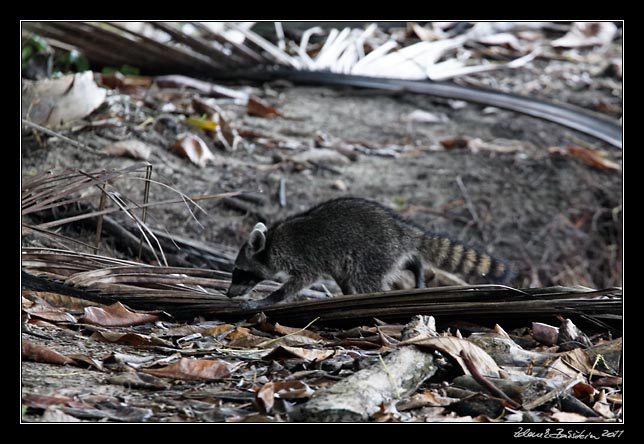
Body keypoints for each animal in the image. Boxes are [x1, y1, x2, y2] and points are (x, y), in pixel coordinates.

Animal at [228, 199, 512, 306]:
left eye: (239, 271)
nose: (229, 294)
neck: (271, 243)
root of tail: (401, 228)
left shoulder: (301, 258)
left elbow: (300, 281)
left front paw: (270, 298)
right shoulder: (332, 262)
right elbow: (341, 278)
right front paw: (346, 295)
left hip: (373, 251)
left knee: (367, 280)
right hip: (382, 252)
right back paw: (415, 267)